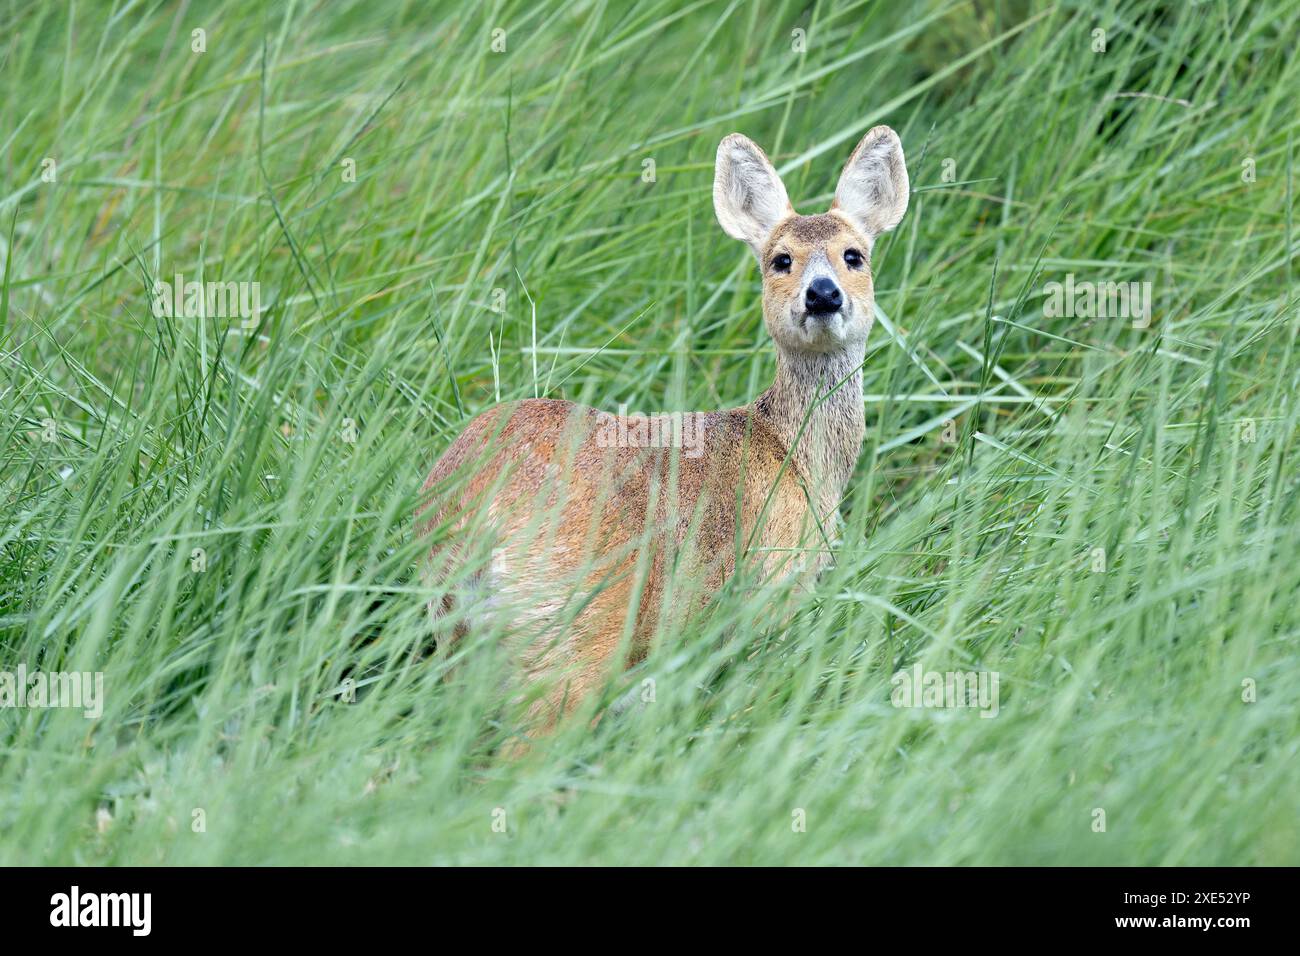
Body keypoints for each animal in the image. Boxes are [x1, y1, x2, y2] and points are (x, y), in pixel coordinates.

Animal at [421, 123, 909, 728]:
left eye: (854, 255)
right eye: (780, 260)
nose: (823, 294)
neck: (795, 457)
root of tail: (476, 503)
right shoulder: (773, 586)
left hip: (458, 629)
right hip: (576, 624)